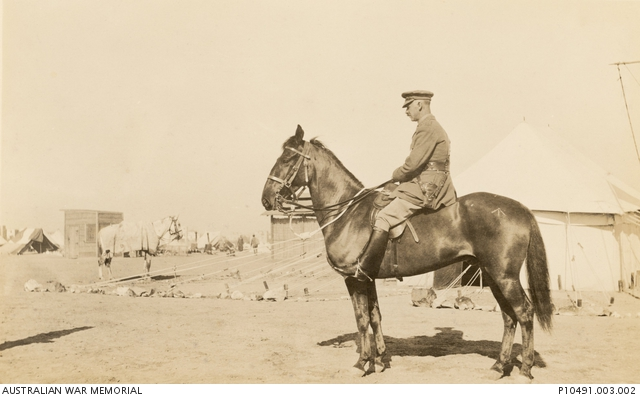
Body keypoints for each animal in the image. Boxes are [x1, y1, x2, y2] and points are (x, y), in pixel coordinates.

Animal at [262, 125, 552, 380]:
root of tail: (520, 208)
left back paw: (525, 370)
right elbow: (375, 317)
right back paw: (499, 366)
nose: (266, 199)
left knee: (524, 312)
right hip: (493, 276)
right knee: (508, 317)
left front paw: (361, 363)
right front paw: (379, 360)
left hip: (504, 277)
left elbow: (361, 320)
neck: (349, 213)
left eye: (287, 158)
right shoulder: (368, 279)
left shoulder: (353, 280)